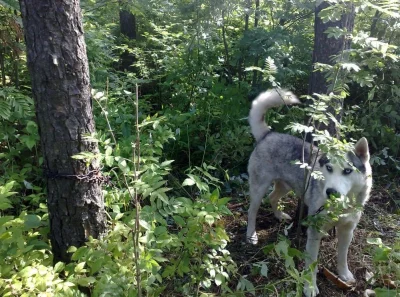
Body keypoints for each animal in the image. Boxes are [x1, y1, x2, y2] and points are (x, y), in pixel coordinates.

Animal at [245, 88, 374, 296]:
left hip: (286, 186)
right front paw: (310, 286)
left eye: (347, 171)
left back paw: (279, 215)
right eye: (329, 168)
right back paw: (251, 235)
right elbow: (311, 263)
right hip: (259, 188)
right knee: (252, 211)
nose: (331, 192)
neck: (340, 208)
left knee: (273, 197)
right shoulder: (314, 232)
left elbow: (343, 255)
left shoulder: (347, 230)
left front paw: (344, 274)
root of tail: (268, 134)